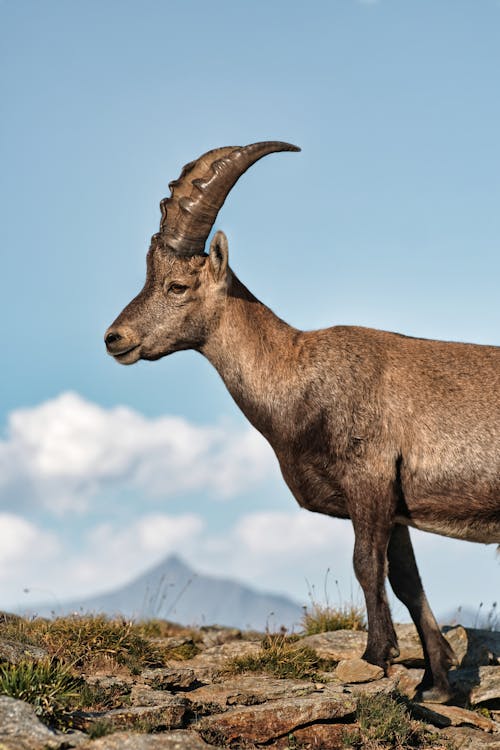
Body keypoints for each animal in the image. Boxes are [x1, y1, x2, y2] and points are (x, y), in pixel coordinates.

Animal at [106, 142, 500, 704]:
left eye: (177, 285)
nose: (114, 339)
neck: (299, 376)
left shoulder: (369, 478)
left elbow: (366, 564)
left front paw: (376, 656)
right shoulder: (396, 505)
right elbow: (407, 580)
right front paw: (436, 682)